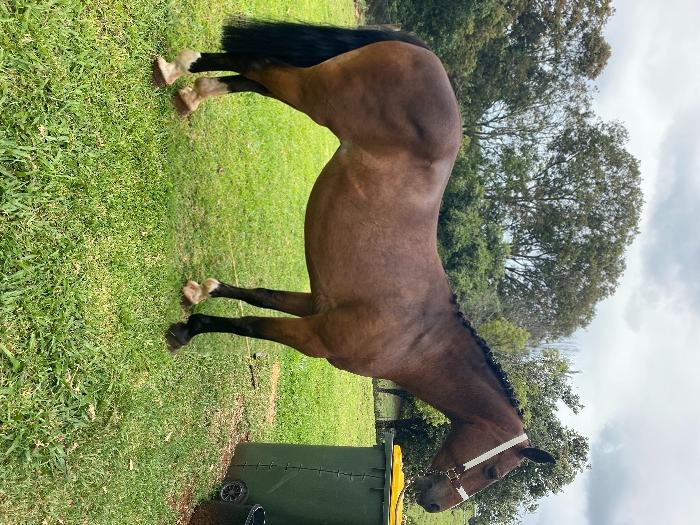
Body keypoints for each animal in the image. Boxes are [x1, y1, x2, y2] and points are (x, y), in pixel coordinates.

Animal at [155, 18, 555, 513]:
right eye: (493, 471)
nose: (432, 502)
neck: (419, 338)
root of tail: (426, 55)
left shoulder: (314, 305)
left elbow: (259, 297)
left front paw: (200, 291)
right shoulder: (314, 338)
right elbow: (250, 325)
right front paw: (188, 329)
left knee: (254, 79)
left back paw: (191, 92)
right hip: (314, 94)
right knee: (260, 66)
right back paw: (179, 70)